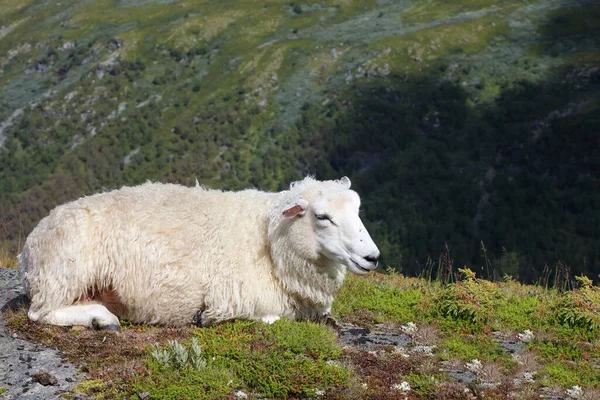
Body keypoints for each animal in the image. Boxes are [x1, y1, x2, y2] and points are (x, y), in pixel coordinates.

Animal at [21, 177, 382, 330]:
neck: (269, 237)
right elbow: (272, 317)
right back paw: (103, 320)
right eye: (322, 217)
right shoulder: (231, 299)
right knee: (41, 314)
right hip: (63, 272)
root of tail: (30, 244)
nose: (372, 257)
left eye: (358, 210)